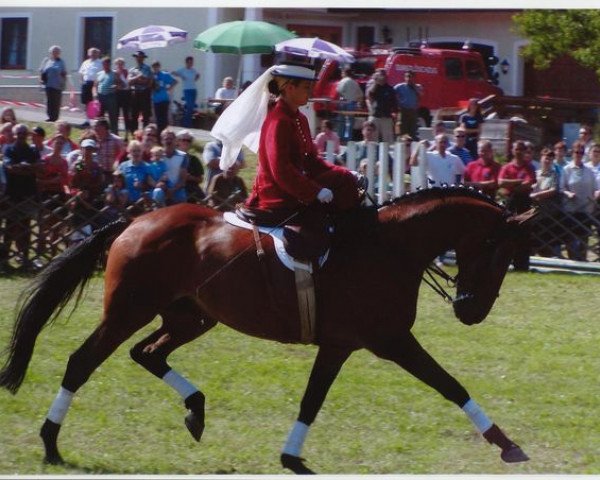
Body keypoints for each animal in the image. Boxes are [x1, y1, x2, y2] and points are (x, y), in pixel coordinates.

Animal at [1, 187, 536, 472]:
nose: (472, 313)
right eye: (498, 253)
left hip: (191, 316)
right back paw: (50, 442)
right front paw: (507, 444)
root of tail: (135, 221)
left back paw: (195, 409)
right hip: (128, 311)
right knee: (82, 362)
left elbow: (311, 401)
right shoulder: (390, 341)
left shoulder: (340, 345)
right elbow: (450, 385)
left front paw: (292, 458)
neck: (389, 246)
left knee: (148, 354)